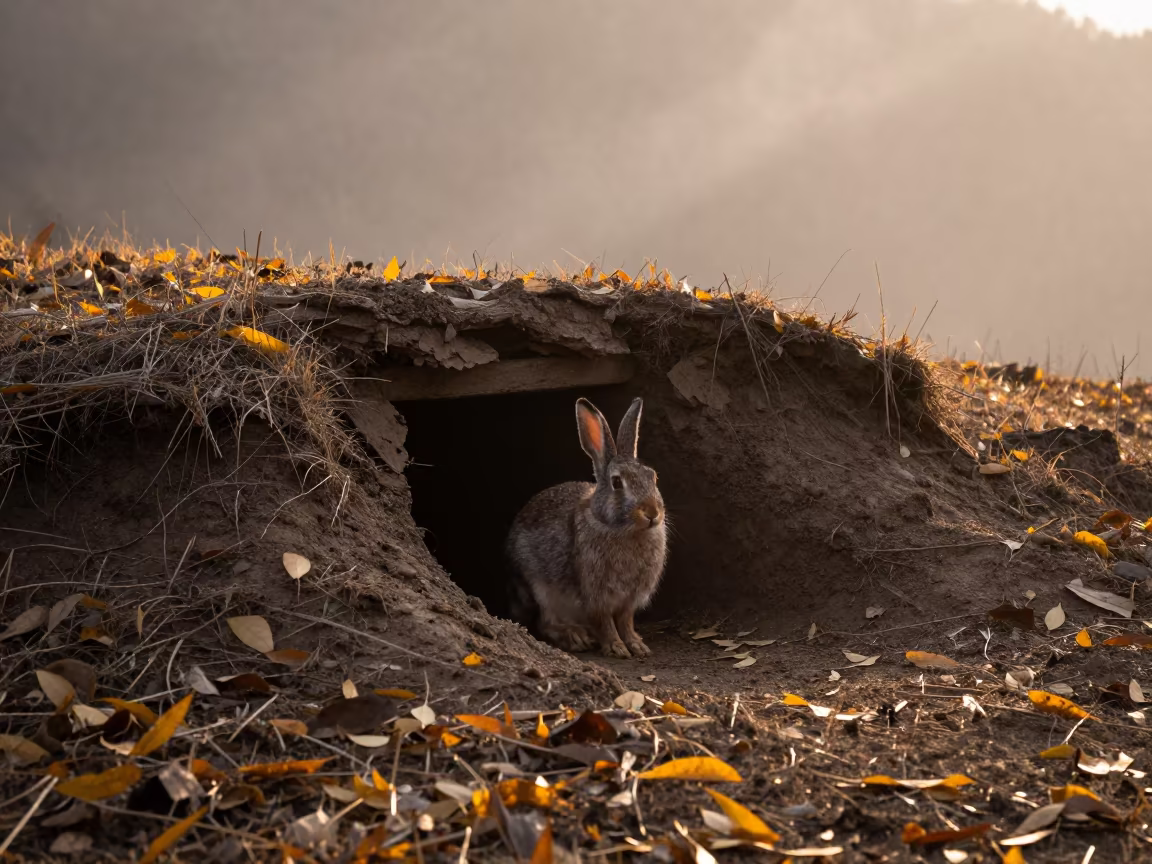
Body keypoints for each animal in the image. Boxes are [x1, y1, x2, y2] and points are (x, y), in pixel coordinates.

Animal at [505, 396, 667, 658]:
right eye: (617, 483)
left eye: (653, 477)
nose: (652, 514)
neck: (618, 528)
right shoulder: (595, 594)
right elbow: (605, 621)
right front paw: (617, 647)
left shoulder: (629, 599)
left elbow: (626, 620)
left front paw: (637, 645)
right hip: (539, 589)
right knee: (545, 622)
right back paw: (576, 637)